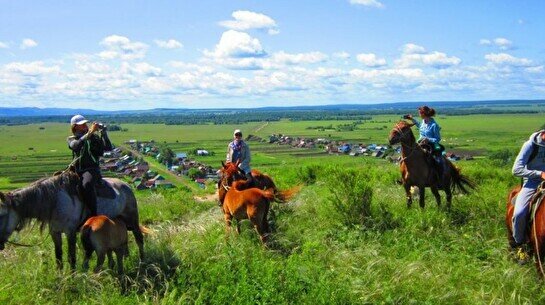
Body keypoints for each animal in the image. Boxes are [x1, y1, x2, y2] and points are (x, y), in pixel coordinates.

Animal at [0, 171, 144, 268]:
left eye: (2, 215)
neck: (56, 201)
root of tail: (126, 185)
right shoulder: (55, 232)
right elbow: (58, 257)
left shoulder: (70, 232)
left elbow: (71, 257)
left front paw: (73, 278)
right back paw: (126, 260)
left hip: (132, 220)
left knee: (139, 239)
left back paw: (142, 261)